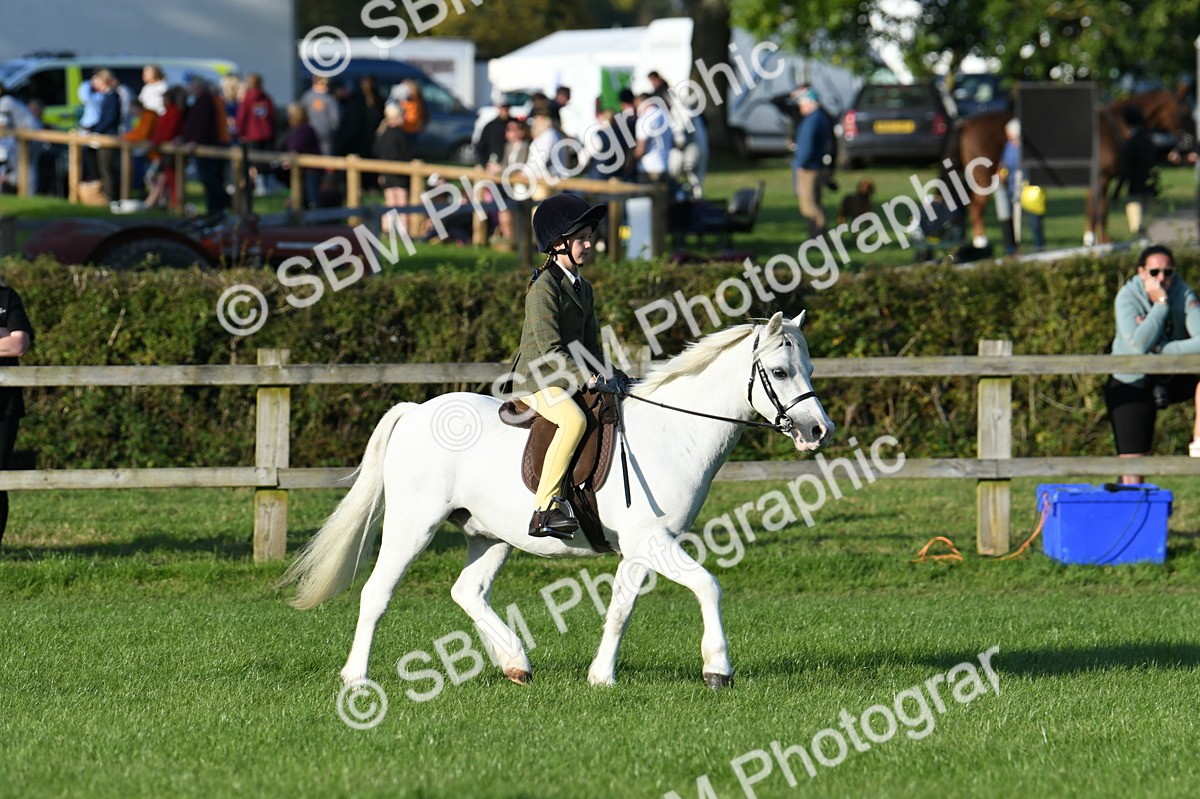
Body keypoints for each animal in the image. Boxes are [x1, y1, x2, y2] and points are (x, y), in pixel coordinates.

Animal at [279, 312, 834, 689]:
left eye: (806, 366)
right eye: (780, 372)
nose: (818, 431)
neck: (674, 431)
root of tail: (416, 411)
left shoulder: (641, 548)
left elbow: (621, 608)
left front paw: (601, 676)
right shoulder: (653, 542)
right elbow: (707, 586)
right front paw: (718, 668)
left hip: (489, 534)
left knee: (467, 591)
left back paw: (515, 663)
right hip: (413, 526)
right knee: (377, 593)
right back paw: (356, 678)